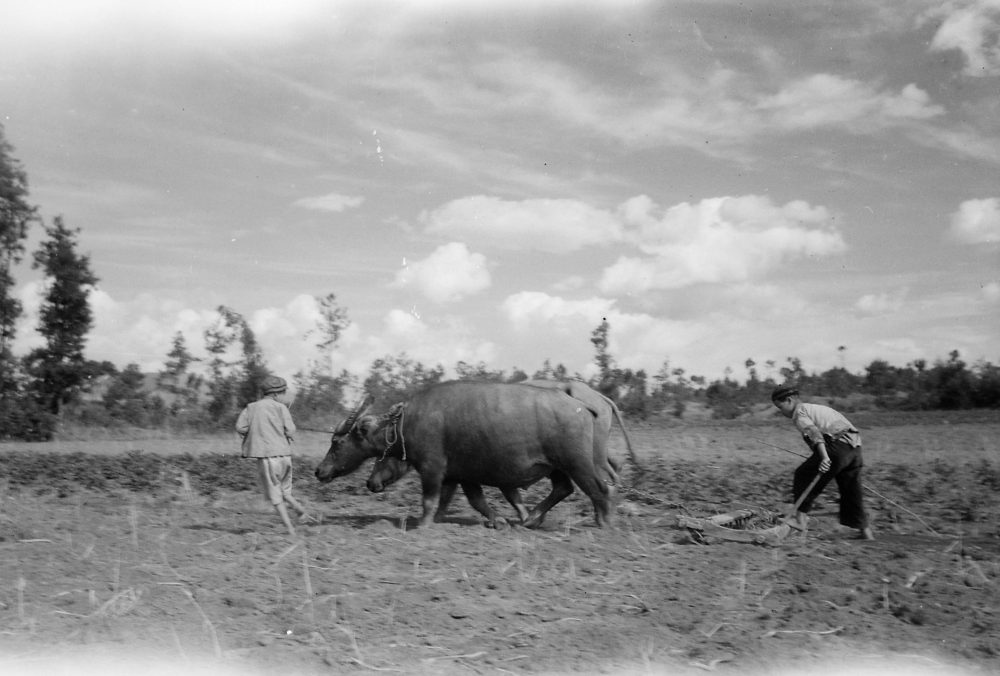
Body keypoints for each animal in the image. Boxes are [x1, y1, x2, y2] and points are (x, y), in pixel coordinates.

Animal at [316, 380, 620, 528]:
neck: (407, 422)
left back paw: (604, 522)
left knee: (599, 488)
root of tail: (582, 404)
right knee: (563, 489)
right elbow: (471, 501)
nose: (320, 471)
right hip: (556, 467)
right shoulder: (459, 475)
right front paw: (496, 521)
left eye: (336, 441)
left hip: (577, 463)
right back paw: (532, 518)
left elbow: (429, 500)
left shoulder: (432, 469)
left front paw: (422, 525)